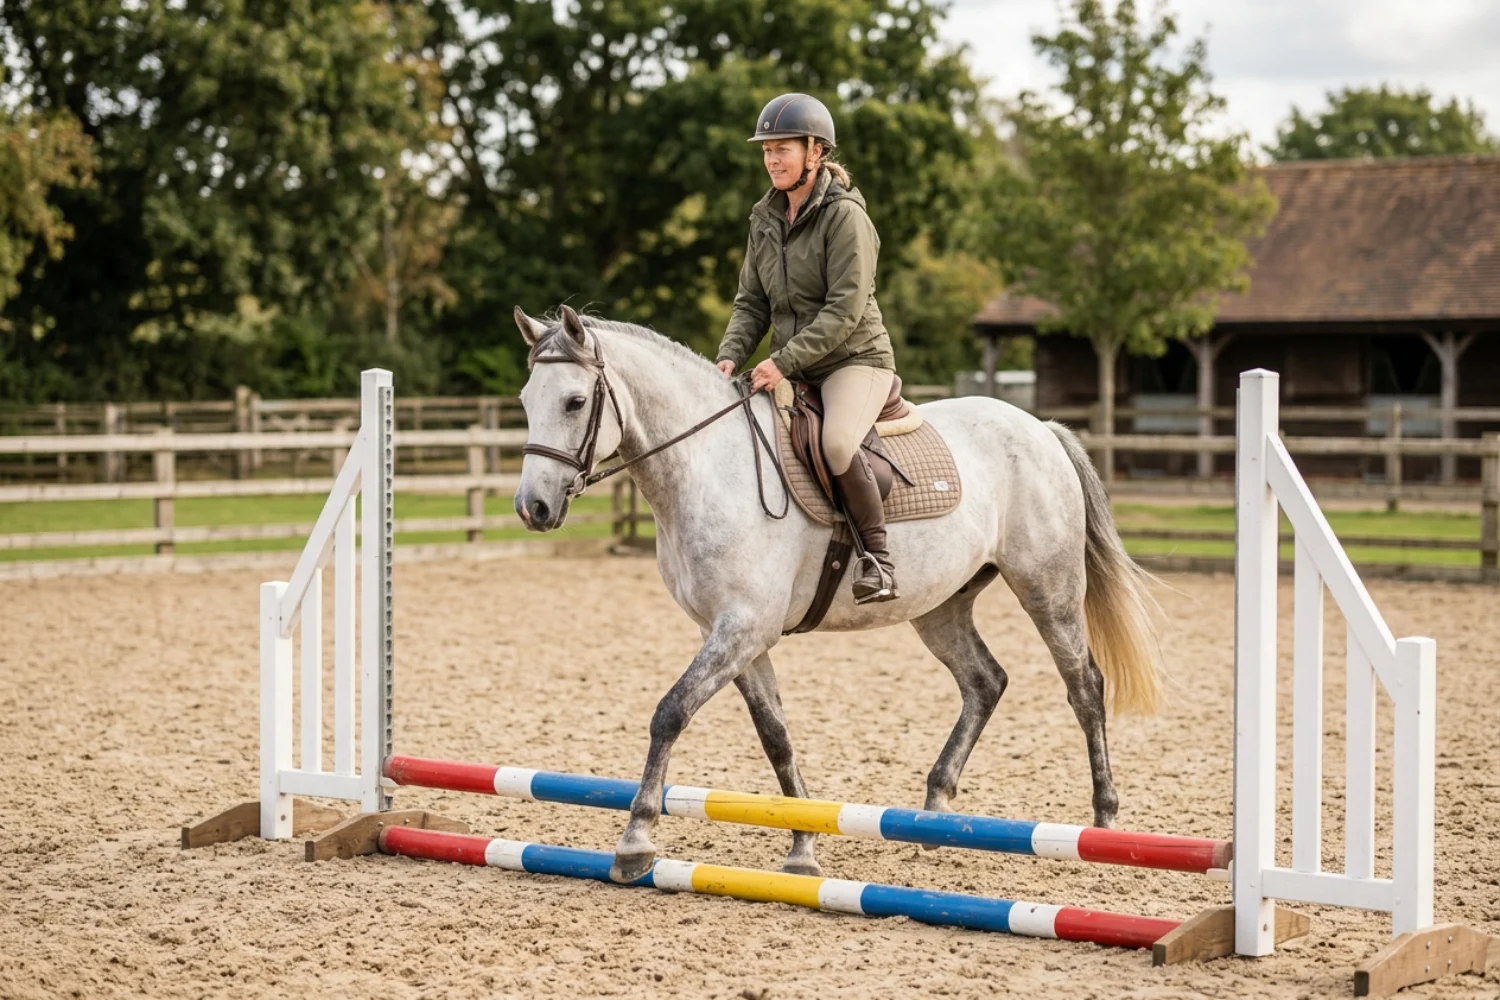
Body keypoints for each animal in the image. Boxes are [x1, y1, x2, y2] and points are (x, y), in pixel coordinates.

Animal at [513, 305, 1163, 883]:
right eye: (524, 401)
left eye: (574, 402)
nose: (532, 508)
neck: (709, 468)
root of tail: (1039, 428)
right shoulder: (733, 634)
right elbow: (775, 737)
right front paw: (802, 847)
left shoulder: (742, 627)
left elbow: (670, 713)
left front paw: (636, 840)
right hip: (941, 606)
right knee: (986, 681)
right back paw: (934, 815)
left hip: (1046, 587)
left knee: (1084, 686)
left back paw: (1103, 821)